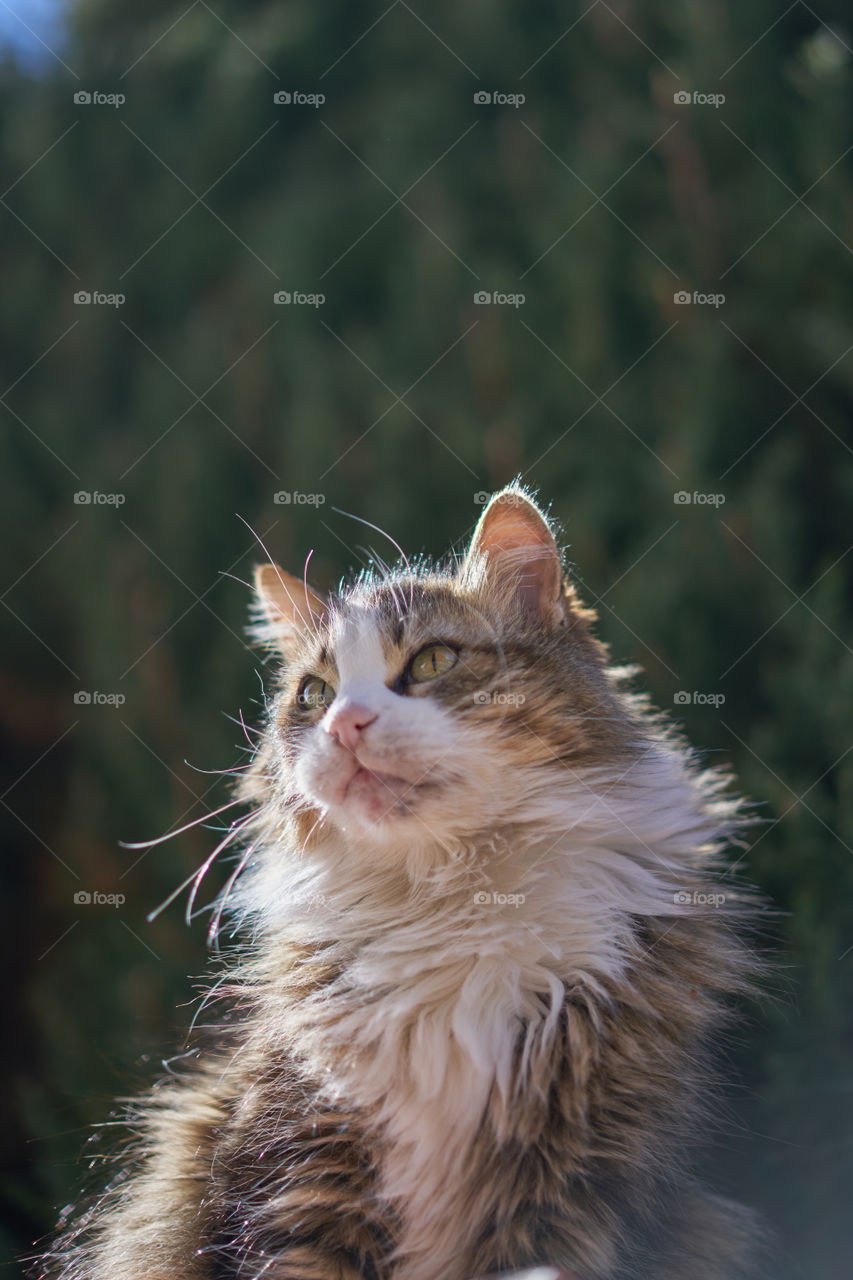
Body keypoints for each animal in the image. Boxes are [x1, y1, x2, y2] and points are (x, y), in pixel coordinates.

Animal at [36, 486, 758, 1280]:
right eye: (314, 694)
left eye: (433, 660)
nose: (346, 723)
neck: (452, 896)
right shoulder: (303, 1166)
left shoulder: (579, 1173)